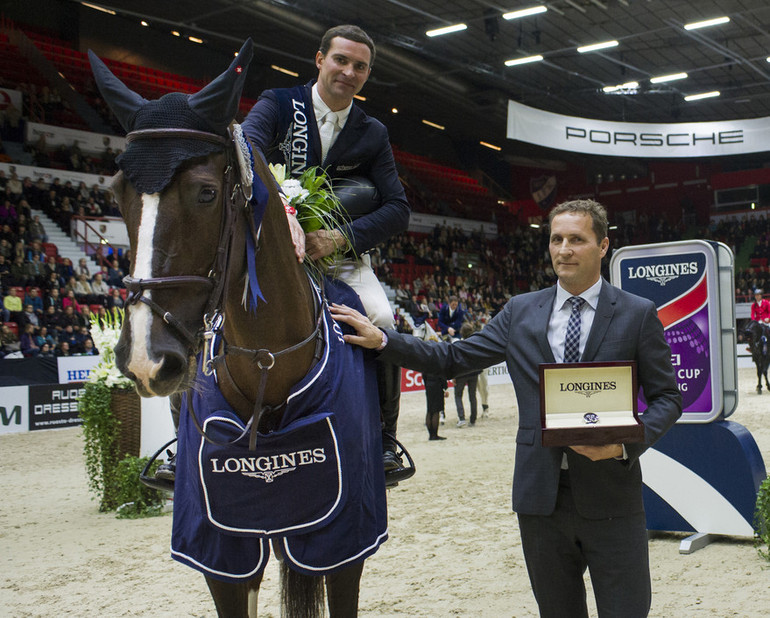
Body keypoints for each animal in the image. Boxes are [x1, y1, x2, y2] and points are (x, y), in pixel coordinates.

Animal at [90, 39, 388, 616]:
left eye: (206, 193)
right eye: (116, 193)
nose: (145, 358)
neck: (267, 361)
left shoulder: (344, 537)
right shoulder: (220, 549)